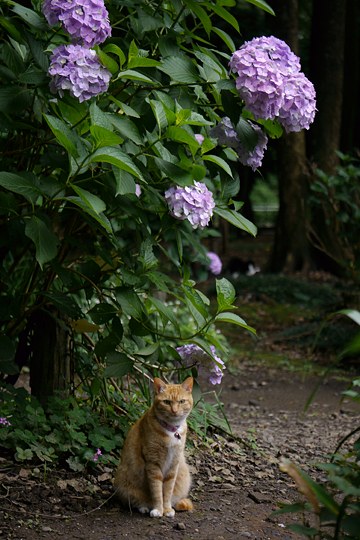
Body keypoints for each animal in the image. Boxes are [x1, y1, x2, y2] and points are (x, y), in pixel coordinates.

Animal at [114, 376, 194, 520]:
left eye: (181, 401)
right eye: (167, 402)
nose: (174, 410)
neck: (171, 431)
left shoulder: (173, 465)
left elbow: (167, 491)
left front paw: (166, 509)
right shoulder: (153, 464)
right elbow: (157, 490)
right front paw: (158, 509)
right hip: (124, 484)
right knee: (136, 501)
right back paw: (145, 507)